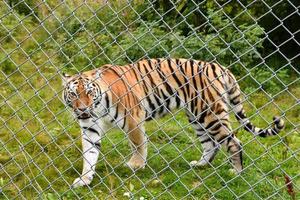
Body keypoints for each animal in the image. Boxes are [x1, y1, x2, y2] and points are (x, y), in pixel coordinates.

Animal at [62, 57, 284, 188]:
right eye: (73, 94)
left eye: (89, 92)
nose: (82, 109)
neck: (97, 108)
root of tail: (221, 67)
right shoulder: (90, 128)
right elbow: (89, 154)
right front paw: (85, 179)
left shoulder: (134, 119)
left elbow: (138, 143)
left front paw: (136, 165)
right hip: (196, 116)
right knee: (210, 144)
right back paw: (200, 165)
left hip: (209, 113)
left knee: (233, 142)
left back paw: (236, 173)